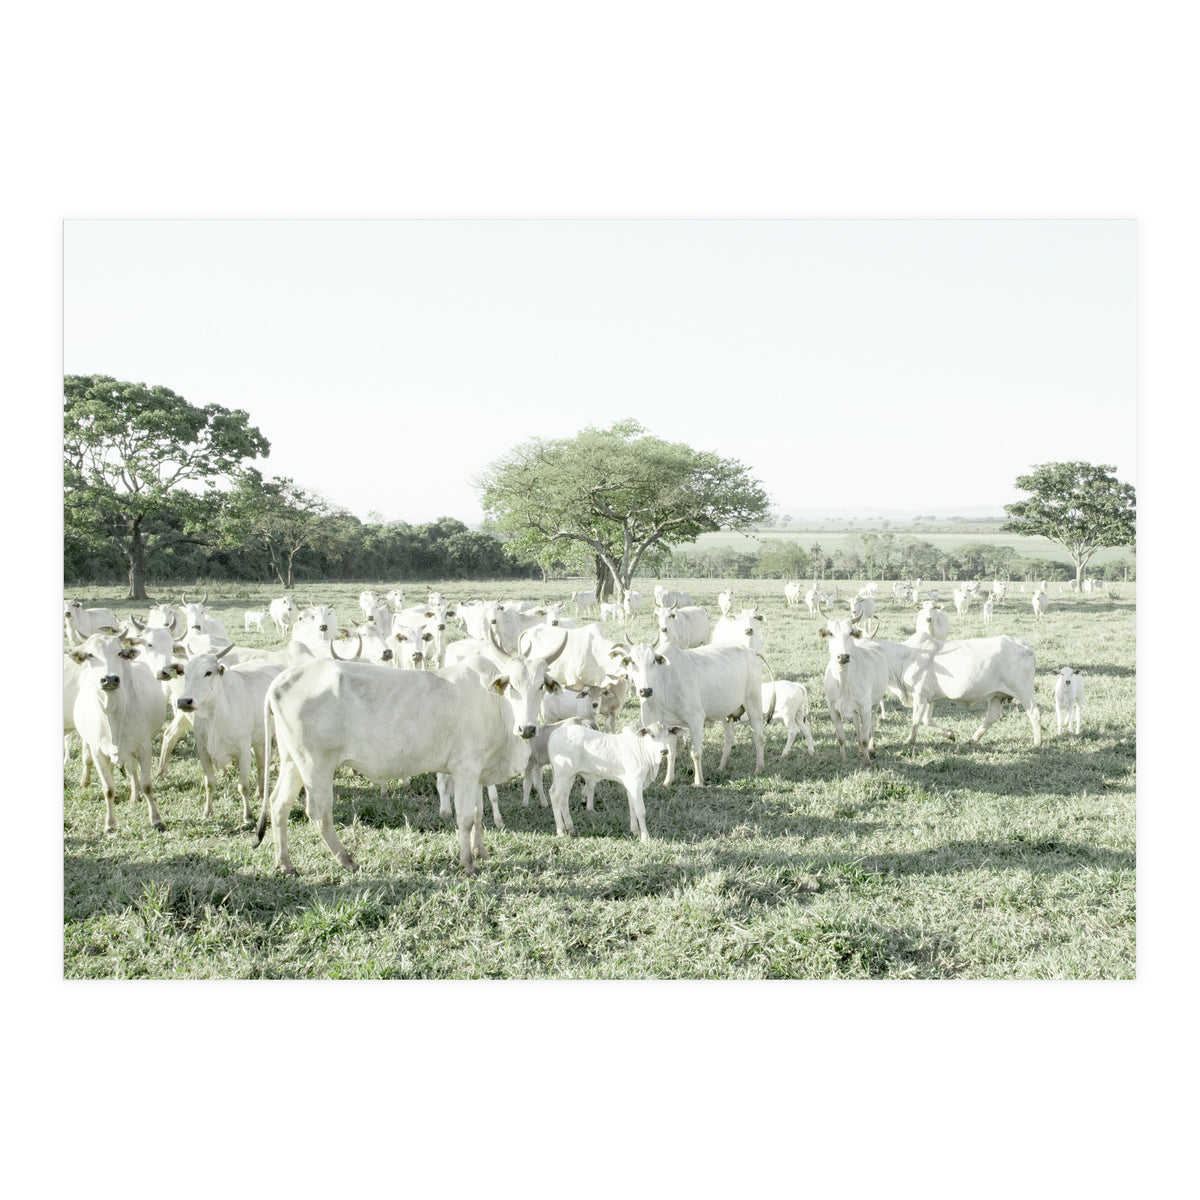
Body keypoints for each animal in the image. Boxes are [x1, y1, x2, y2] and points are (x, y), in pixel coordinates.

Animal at [69, 633, 168, 833]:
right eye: (90, 654)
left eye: (120, 653)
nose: (110, 679)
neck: (114, 714)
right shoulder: (98, 752)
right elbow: (108, 788)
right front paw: (110, 824)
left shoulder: (143, 747)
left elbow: (147, 785)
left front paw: (156, 820)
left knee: (132, 770)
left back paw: (136, 795)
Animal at [255, 631, 568, 875]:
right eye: (511, 685)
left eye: (542, 685)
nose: (527, 729)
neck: (495, 705)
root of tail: (284, 678)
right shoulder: (465, 770)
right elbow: (466, 818)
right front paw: (468, 863)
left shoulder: (477, 772)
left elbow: (479, 813)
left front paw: (482, 852)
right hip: (315, 765)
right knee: (319, 812)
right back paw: (346, 860)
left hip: (292, 762)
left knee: (278, 804)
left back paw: (285, 863)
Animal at [546, 722, 680, 841]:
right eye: (652, 735)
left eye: (668, 734)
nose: (664, 751)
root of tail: (556, 732)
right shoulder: (636, 784)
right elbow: (641, 811)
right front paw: (645, 837)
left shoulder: (631, 785)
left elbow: (632, 807)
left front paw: (635, 832)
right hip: (563, 774)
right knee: (554, 795)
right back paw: (561, 831)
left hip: (569, 776)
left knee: (563, 798)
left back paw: (570, 828)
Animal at [615, 641, 764, 787]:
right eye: (633, 662)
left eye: (653, 661)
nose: (645, 691)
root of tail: (749, 651)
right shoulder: (668, 727)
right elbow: (670, 754)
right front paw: (668, 781)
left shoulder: (696, 719)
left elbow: (695, 753)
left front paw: (698, 781)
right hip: (725, 712)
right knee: (729, 737)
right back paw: (722, 766)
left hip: (753, 703)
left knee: (758, 737)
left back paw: (759, 768)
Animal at [820, 617, 889, 767]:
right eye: (830, 633)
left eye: (850, 633)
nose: (843, 656)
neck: (843, 683)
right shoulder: (832, 708)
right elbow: (841, 737)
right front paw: (843, 760)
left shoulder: (865, 707)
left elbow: (864, 737)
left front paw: (867, 762)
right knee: (857, 725)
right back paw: (859, 749)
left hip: (874, 703)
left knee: (871, 725)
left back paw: (871, 749)